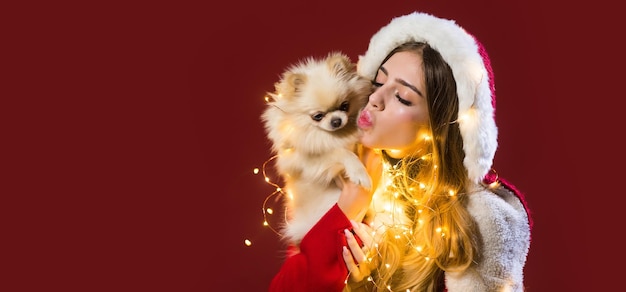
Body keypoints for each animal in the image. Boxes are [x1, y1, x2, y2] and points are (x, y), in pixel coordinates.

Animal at [260, 51, 370, 245]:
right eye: (317, 116)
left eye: (345, 106)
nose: (336, 121)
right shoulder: (312, 162)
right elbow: (343, 152)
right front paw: (359, 173)